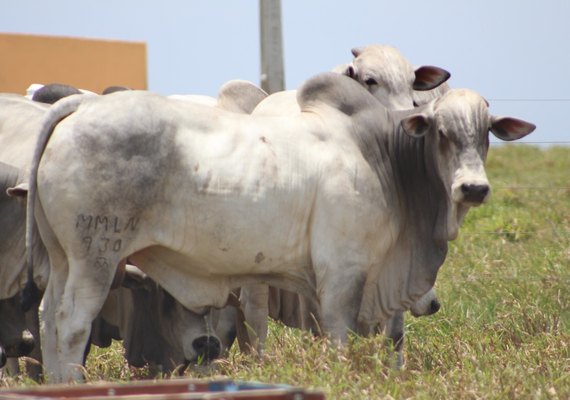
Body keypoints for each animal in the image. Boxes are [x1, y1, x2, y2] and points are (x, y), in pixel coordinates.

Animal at [25, 71, 532, 382]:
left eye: (485, 133)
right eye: (441, 132)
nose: (473, 188)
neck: (382, 156)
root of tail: (77, 108)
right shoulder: (343, 273)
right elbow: (339, 336)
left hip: (62, 257)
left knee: (48, 316)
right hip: (96, 256)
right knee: (72, 323)